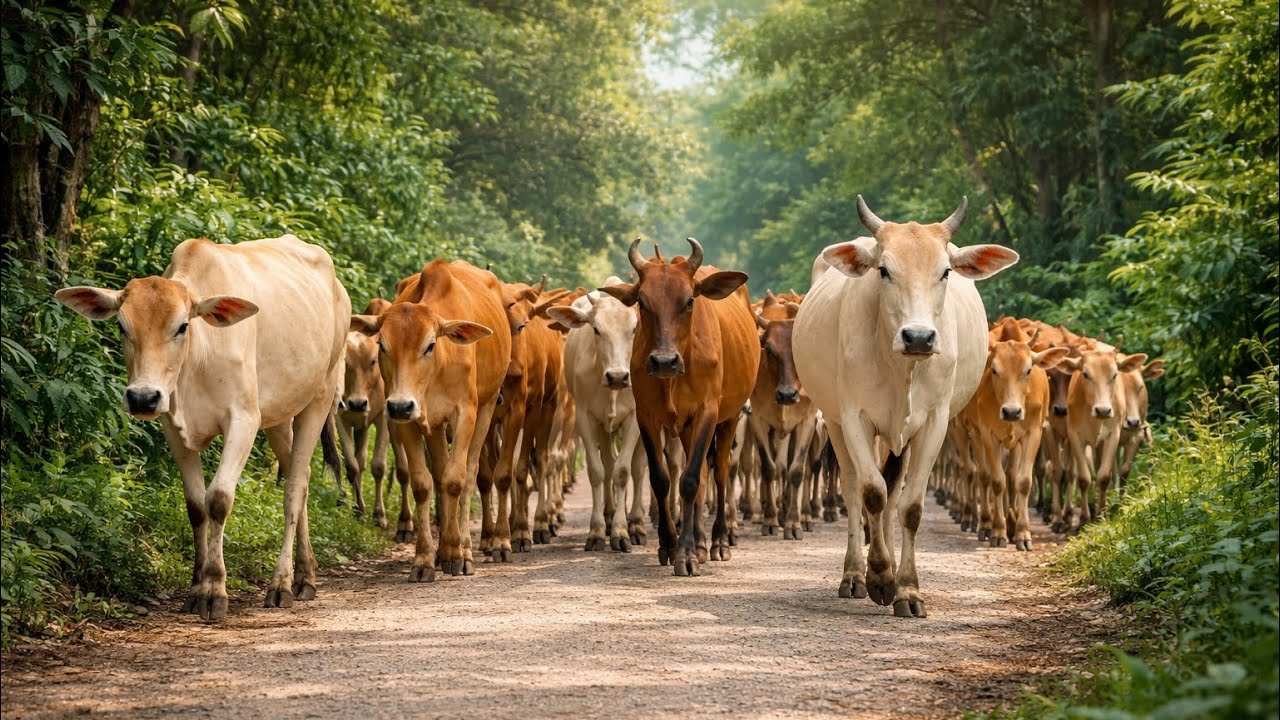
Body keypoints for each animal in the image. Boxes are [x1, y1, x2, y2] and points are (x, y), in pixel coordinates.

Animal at [55, 236, 350, 620]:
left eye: (182, 326)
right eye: (122, 326)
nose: (142, 397)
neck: (198, 356)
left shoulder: (244, 418)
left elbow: (219, 499)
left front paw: (214, 588)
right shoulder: (171, 424)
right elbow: (196, 505)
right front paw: (196, 587)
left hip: (319, 397)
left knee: (295, 489)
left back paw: (283, 583)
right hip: (280, 415)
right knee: (297, 477)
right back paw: (305, 574)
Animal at [351, 260, 511, 580]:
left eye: (429, 345)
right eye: (382, 346)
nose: (401, 405)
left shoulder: (466, 413)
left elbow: (456, 480)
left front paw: (459, 554)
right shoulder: (409, 419)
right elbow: (424, 484)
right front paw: (425, 558)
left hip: (487, 409)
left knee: (470, 474)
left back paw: (464, 547)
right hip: (433, 426)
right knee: (438, 473)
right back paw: (443, 551)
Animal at [548, 279, 649, 552]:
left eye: (634, 329)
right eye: (596, 329)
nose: (618, 376)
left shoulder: (635, 417)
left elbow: (624, 472)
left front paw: (622, 532)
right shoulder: (585, 417)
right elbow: (597, 471)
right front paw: (597, 532)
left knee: (637, 468)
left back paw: (636, 524)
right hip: (603, 427)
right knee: (608, 464)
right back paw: (610, 513)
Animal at [599, 238, 759, 576]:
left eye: (689, 301)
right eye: (642, 302)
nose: (663, 361)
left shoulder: (707, 413)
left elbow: (689, 480)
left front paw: (685, 556)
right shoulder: (646, 416)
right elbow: (662, 479)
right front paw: (670, 546)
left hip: (729, 419)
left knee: (719, 473)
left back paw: (717, 542)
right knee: (702, 477)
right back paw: (698, 542)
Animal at [793, 196, 1019, 617]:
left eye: (945, 272)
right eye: (883, 270)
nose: (918, 337)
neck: (901, 366)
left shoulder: (934, 423)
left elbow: (909, 506)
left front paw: (907, 589)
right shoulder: (854, 418)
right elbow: (871, 493)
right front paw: (880, 578)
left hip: (901, 437)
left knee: (894, 490)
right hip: (835, 422)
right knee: (855, 489)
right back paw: (855, 574)